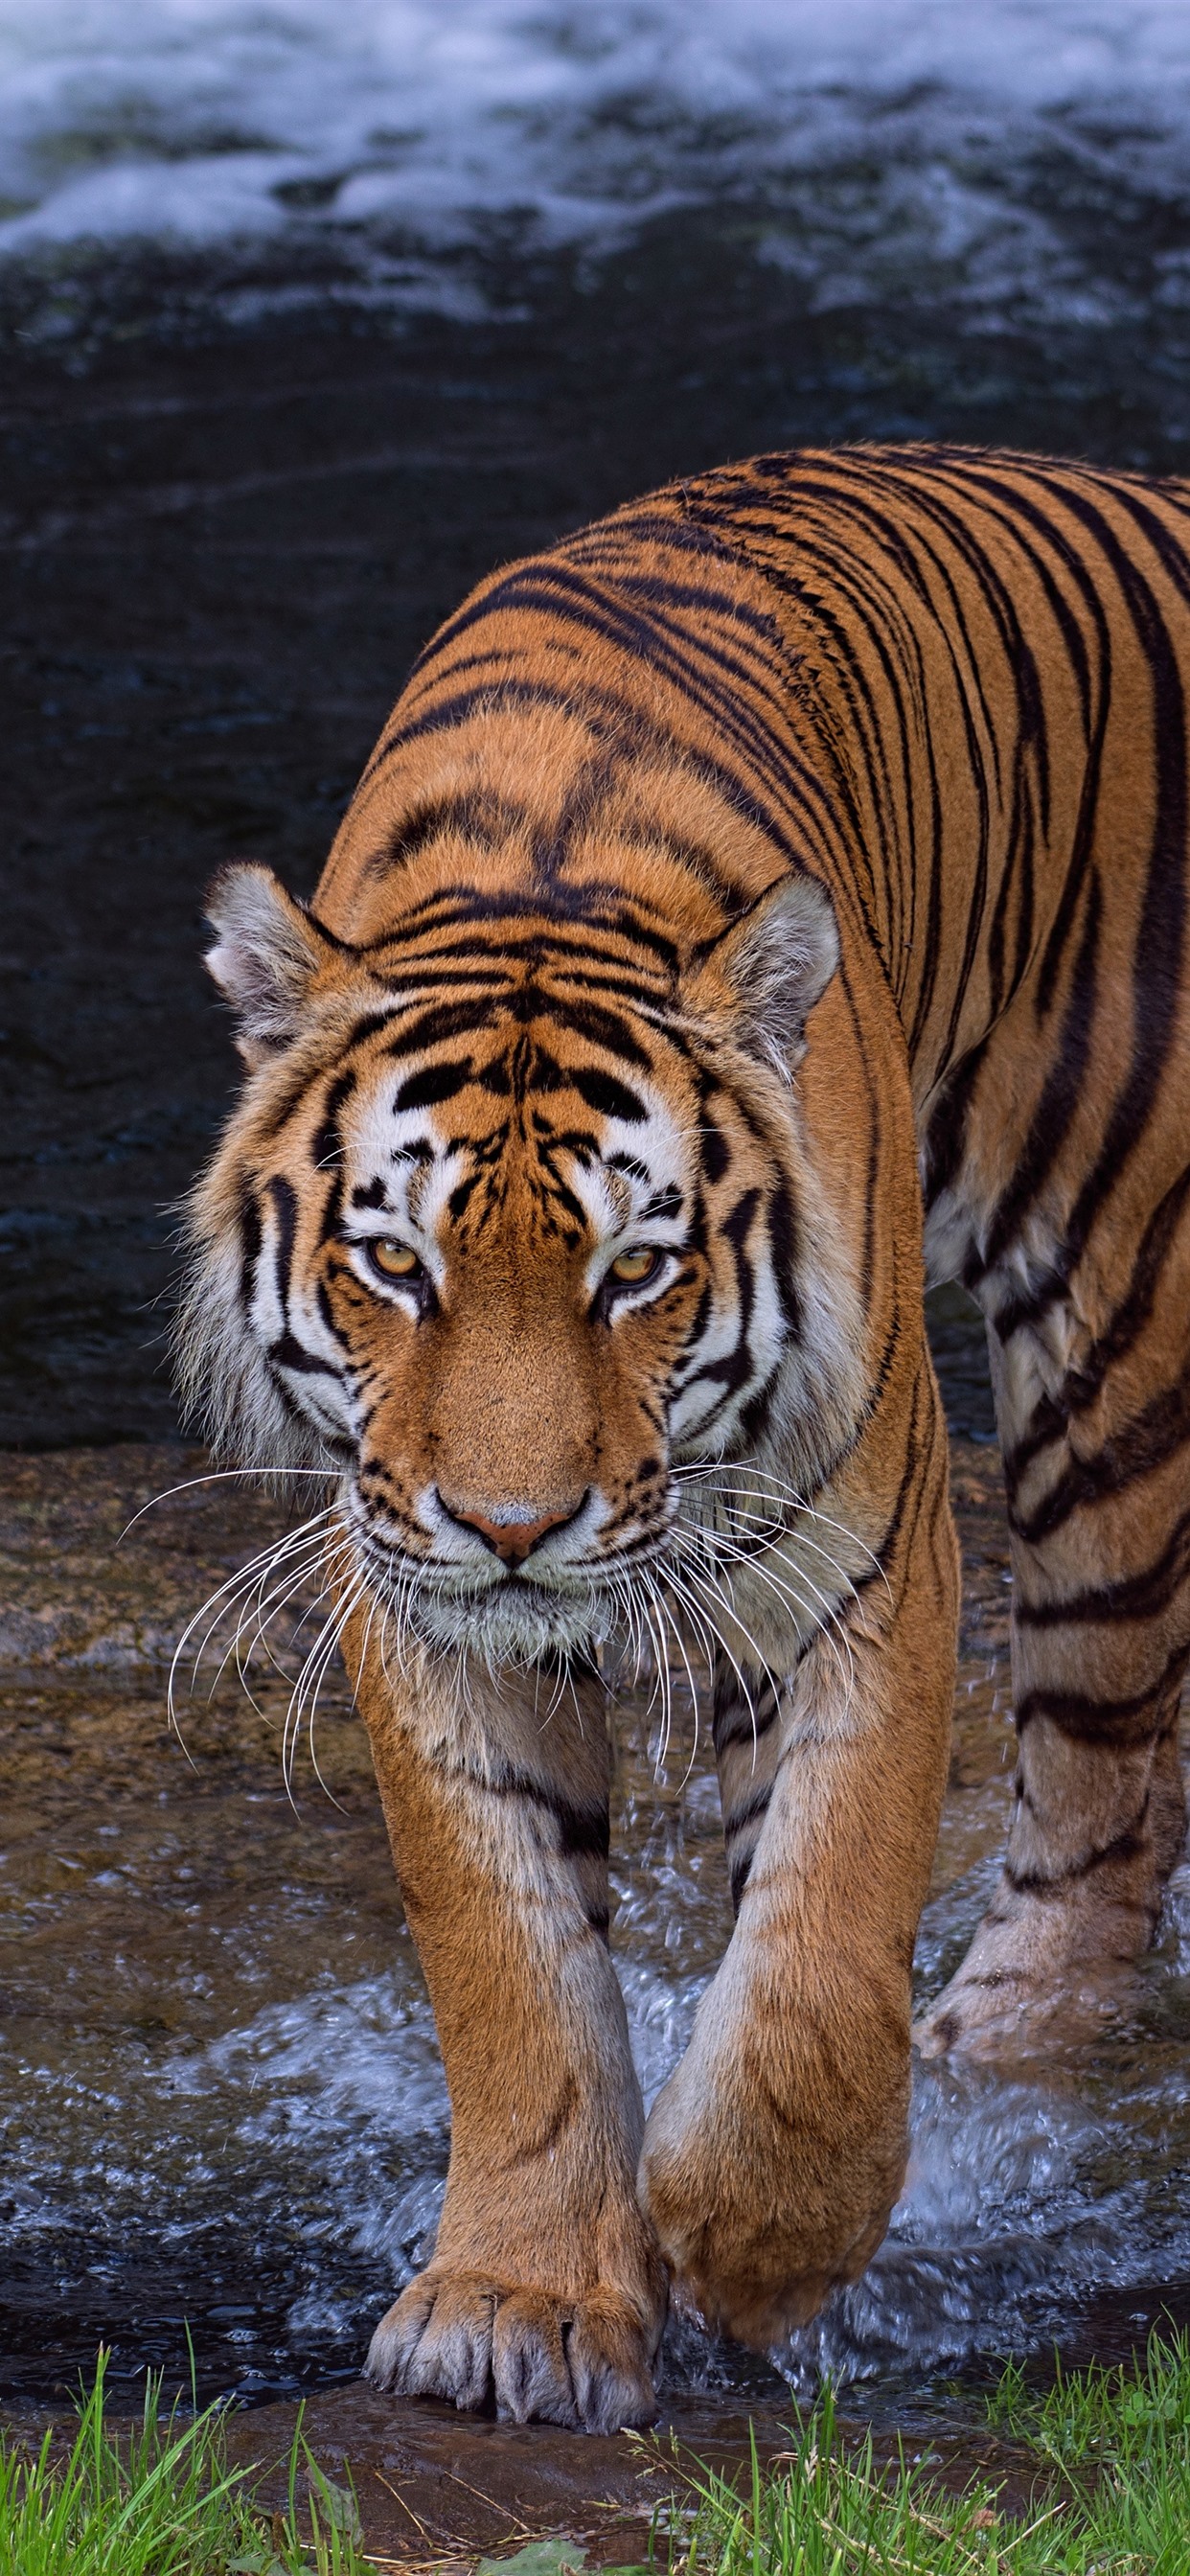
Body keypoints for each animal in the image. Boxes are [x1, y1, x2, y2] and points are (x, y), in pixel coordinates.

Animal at [176, 448, 1190, 2431]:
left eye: (635, 1266)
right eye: (394, 1262)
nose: (512, 1525)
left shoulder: (861, 1558)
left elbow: (821, 1937)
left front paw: (753, 2238)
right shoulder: (423, 1610)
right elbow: (513, 1968)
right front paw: (520, 2299)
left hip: (1117, 1326)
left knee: (1096, 1788)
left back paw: (987, 2058)